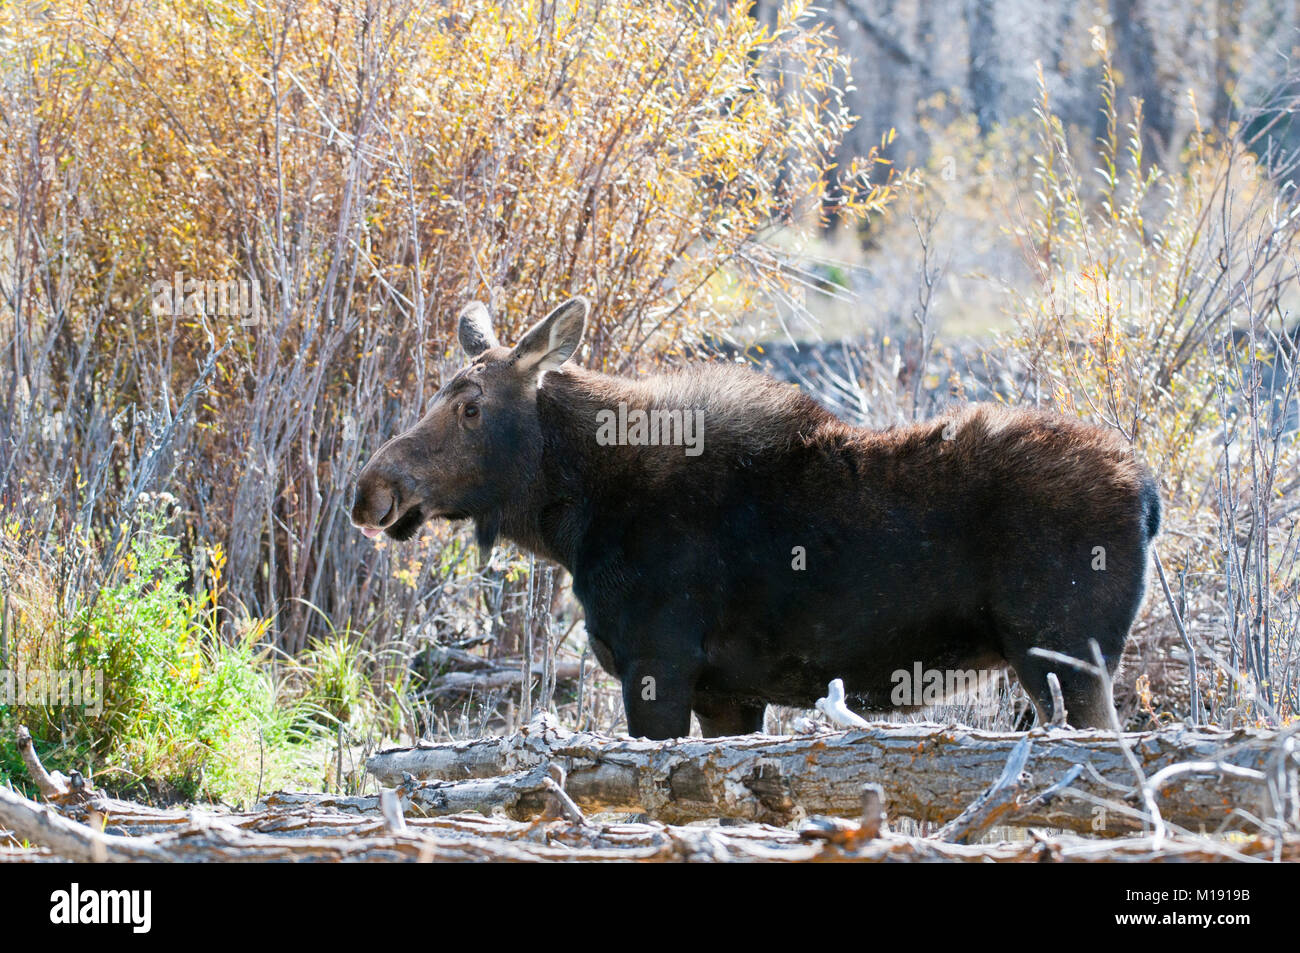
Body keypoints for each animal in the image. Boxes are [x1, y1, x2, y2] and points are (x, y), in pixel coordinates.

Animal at [351, 295, 1164, 738]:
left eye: (469, 407)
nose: (372, 489)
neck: (577, 519)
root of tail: (1150, 495)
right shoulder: (728, 692)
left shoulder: (658, 663)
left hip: (1069, 657)